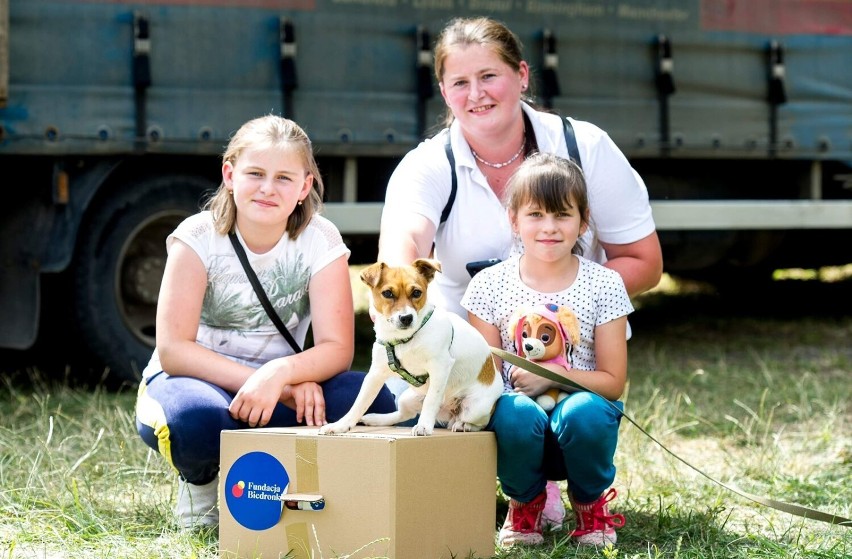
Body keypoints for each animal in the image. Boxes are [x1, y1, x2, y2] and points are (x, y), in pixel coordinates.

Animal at [320, 258, 506, 438]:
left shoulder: (440, 367)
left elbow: (432, 399)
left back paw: (463, 425)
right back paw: (376, 419)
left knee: (481, 423)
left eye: (417, 293)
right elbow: (359, 403)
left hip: (475, 407)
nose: (406, 318)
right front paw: (340, 426)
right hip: (408, 397)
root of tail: (448, 413)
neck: (406, 340)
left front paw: (424, 426)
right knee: (404, 414)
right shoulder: (375, 374)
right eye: (387, 293)